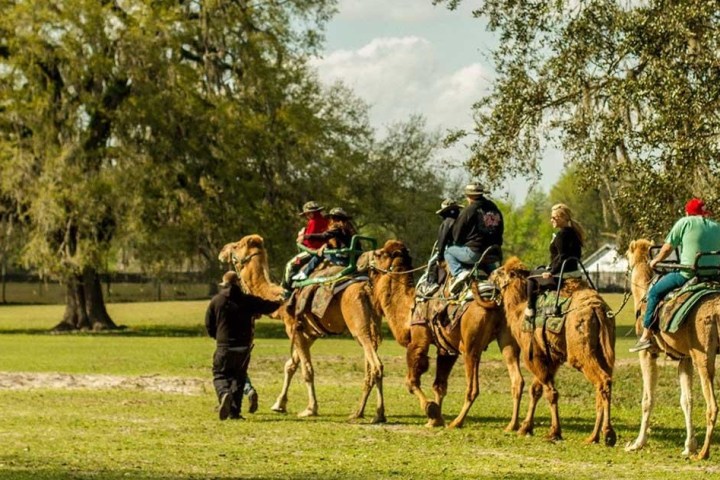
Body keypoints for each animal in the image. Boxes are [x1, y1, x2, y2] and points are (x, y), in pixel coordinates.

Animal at [219, 234, 388, 422]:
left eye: (236, 245)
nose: (223, 250)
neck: (280, 299)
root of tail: (366, 288)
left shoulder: (292, 327)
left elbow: (307, 370)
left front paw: (310, 409)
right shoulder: (308, 333)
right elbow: (290, 365)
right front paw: (279, 404)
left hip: (359, 327)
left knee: (376, 366)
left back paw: (378, 414)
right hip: (372, 327)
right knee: (370, 368)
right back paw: (359, 412)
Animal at [360, 238, 524, 430]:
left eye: (379, 254)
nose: (361, 258)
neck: (409, 308)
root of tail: (496, 299)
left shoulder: (418, 339)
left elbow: (411, 380)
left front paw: (431, 410)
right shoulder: (446, 349)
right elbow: (439, 385)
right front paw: (435, 419)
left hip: (470, 347)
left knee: (473, 388)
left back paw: (457, 422)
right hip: (508, 339)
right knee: (517, 380)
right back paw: (512, 425)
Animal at [490, 258, 620, 446]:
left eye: (501, 272)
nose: (490, 274)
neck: (519, 309)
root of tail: (597, 308)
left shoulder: (533, 354)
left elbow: (551, 393)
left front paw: (554, 432)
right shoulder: (552, 358)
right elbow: (536, 390)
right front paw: (525, 428)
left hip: (579, 351)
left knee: (602, 381)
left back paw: (606, 434)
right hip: (605, 350)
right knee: (604, 382)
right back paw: (595, 436)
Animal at [620, 238, 716, 460]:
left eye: (627, 256)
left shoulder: (648, 353)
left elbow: (647, 399)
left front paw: (637, 443)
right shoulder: (684, 357)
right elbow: (687, 400)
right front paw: (689, 446)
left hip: (704, 357)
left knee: (712, 406)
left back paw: (704, 453)